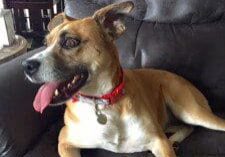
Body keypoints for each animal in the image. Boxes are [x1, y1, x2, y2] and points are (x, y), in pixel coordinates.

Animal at [22, 1, 225, 157]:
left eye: (71, 42)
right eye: (45, 43)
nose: (26, 65)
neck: (102, 103)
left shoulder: (159, 141)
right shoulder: (65, 141)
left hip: (191, 111)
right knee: (185, 127)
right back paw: (175, 140)